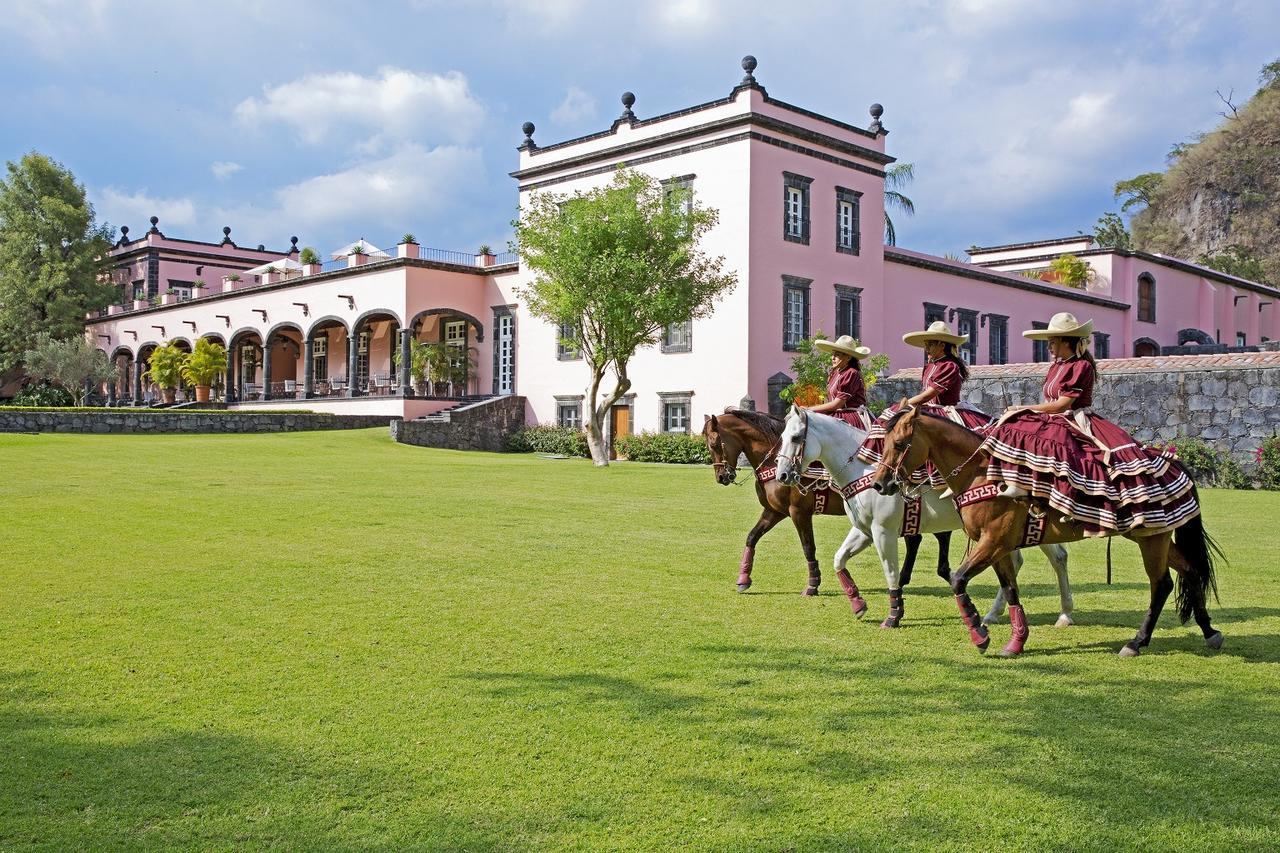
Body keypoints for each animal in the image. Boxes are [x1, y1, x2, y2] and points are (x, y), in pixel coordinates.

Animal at [701, 407, 952, 594]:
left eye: (714, 444)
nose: (722, 477)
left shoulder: (798, 512)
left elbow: (808, 547)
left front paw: (813, 584)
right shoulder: (774, 511)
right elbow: (752, 538)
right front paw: (744, 578)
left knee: (938, 534)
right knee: (918, 537)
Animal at [773, 404, 1075, 625]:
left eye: (796, 438)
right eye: (782, 437)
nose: (783, 475)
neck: (865, 469)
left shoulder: (884, 532)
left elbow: (892, 573)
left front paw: (894, 616)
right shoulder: (864, 531)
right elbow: (839, 559)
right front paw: (858, 604)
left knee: (1058, 558)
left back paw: (1064, 614)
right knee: (1023, 560)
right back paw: (996, 613)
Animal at [870, 402, 1218, 653]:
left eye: (899, 444)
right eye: (883, 443)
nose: (880, 483)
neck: (982, 473)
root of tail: (1173, 461)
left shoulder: (993, 542)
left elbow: (958, 579)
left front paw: (979, 633)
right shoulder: (999, 548)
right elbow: (1011, 590)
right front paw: (1015, 642)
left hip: (1152, 540)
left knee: (1161, 585)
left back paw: (1136, 642)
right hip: (1154, 536)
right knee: (1191, 570)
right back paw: (1209, 631)